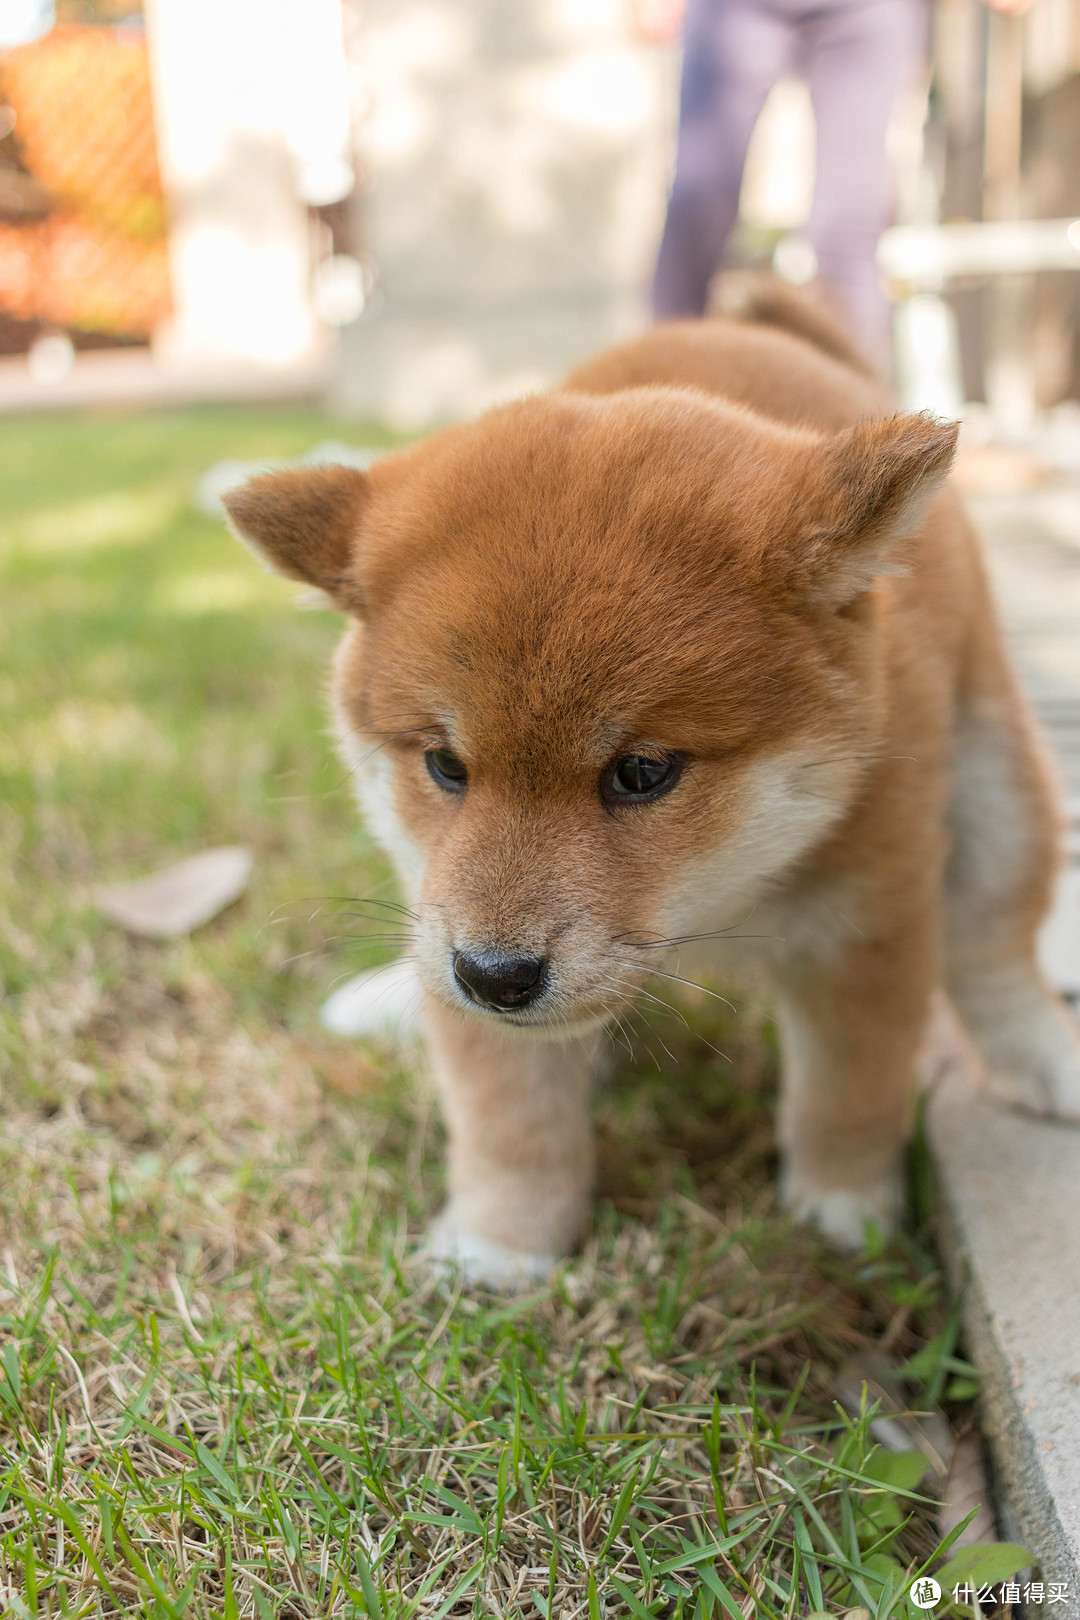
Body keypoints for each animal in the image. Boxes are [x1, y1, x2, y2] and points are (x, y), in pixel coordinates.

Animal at [226, 285, 1080, 1283]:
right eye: (445, 765)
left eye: (641, 772)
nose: (494, 977)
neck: (724, 904)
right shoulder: (446, 907)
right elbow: (508, 1117)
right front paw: (499, 1247)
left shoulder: (867, 921)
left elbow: (848, 1090)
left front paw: (842, 1215)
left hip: (996, 782)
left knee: (993, 948)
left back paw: (1041, 1056)